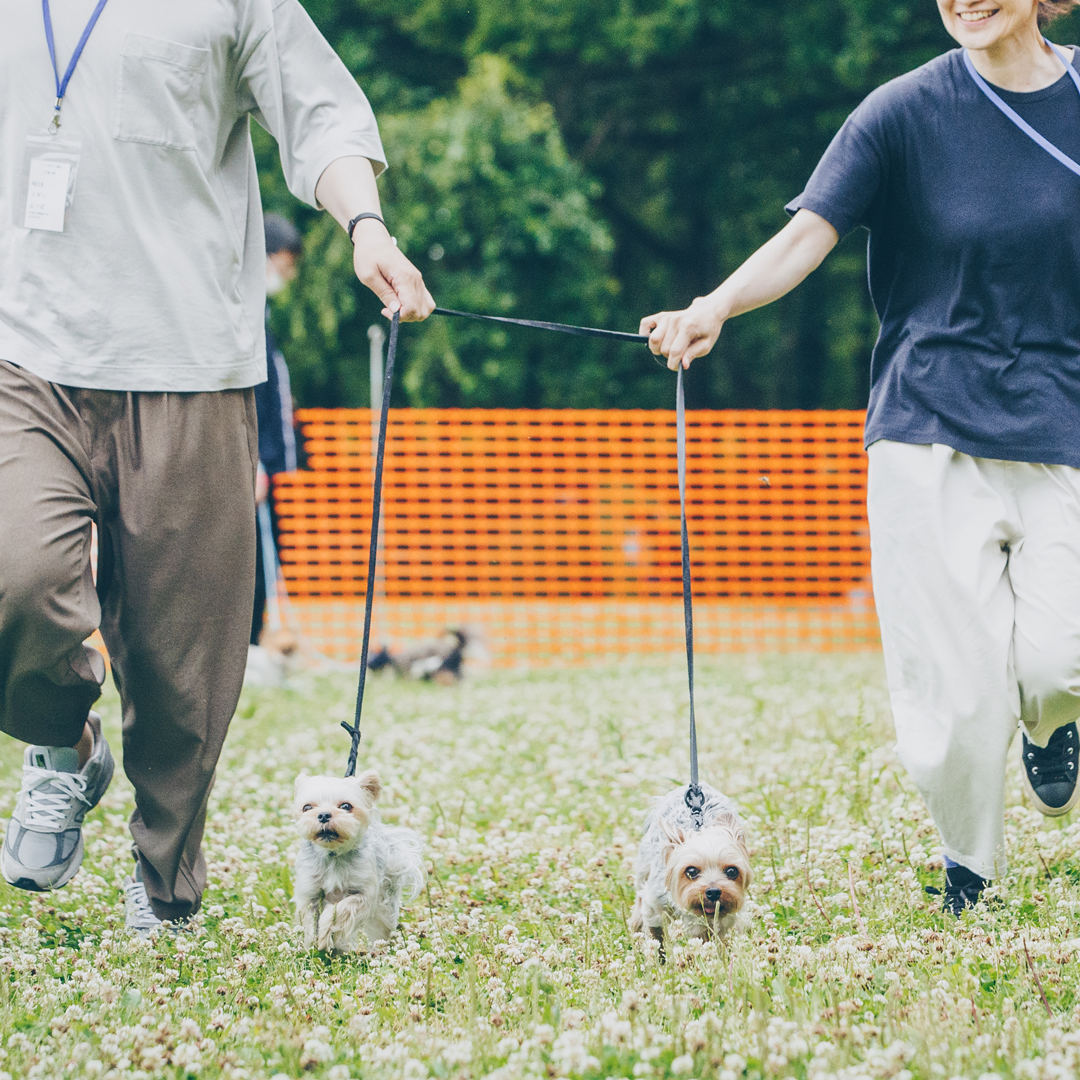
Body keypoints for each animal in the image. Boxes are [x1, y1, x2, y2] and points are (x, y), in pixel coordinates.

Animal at [291, 768, 425, 954]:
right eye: (307, 807)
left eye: (346, 806)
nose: (324, 815)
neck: (334, 854)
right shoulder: (310, 893)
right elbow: (311, 922)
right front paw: (315, 945)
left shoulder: (363, 895)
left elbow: (339, 910)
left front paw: (326, 934)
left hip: (383, 907)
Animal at [630, 786, 756, 946]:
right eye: (691, 871)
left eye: (732, 871)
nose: (713, 892)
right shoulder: (654, 906)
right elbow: (657, 937)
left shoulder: (722, 921)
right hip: (644, 868)